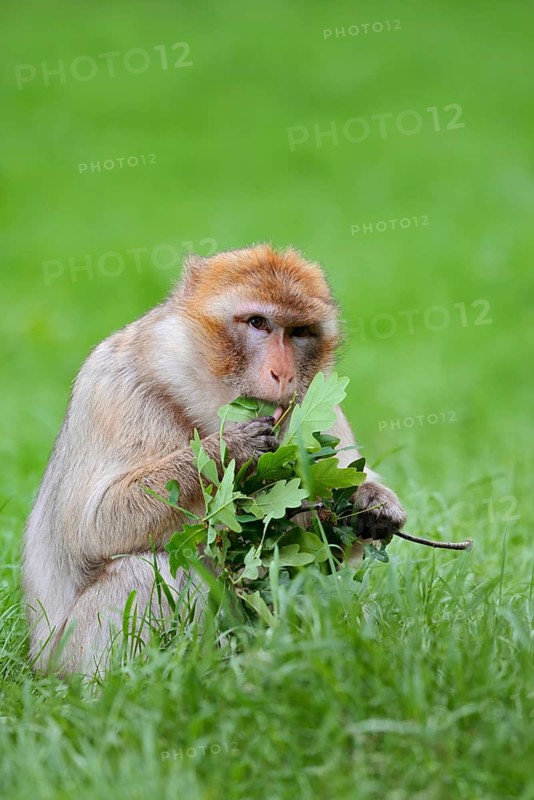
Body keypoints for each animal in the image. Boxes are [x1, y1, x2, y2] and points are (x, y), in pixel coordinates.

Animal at [22, 244, 406, 675]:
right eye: (258, 323)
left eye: (299, 332)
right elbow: (92, 525)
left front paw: (369, 501)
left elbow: (325, 547)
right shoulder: (115, 390)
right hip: (67, 654)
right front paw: (231, 448)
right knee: (142, 569)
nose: (283, 374)